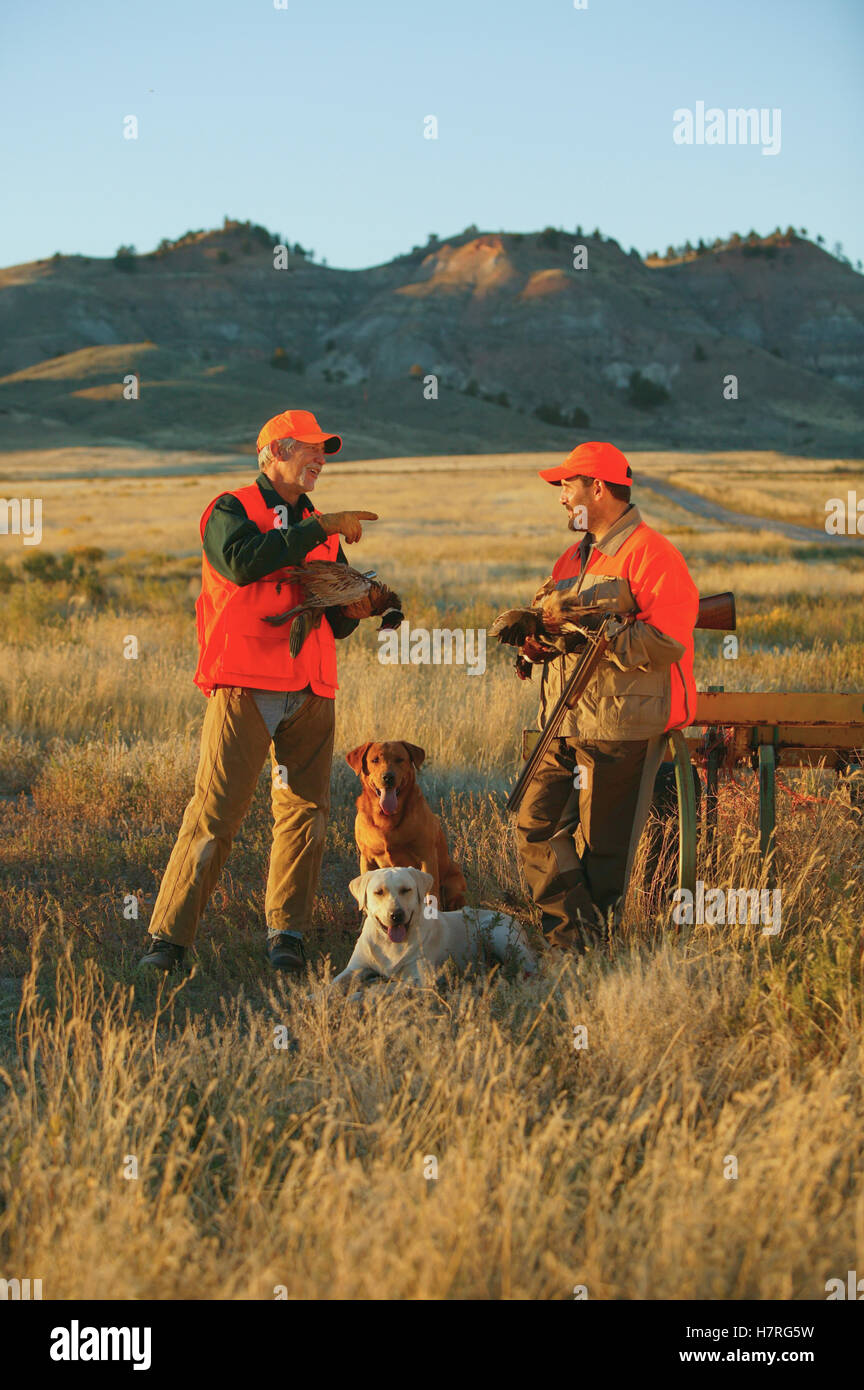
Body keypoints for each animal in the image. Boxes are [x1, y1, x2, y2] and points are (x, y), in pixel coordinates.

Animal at [334, 867, 538, 989]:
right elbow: (332, 985)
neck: (389, 943)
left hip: (500, 936)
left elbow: (383, 989)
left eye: (406, 890)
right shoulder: (354, 968)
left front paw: (358, 996)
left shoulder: (419, 978)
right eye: (379, 892)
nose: (396, 915)